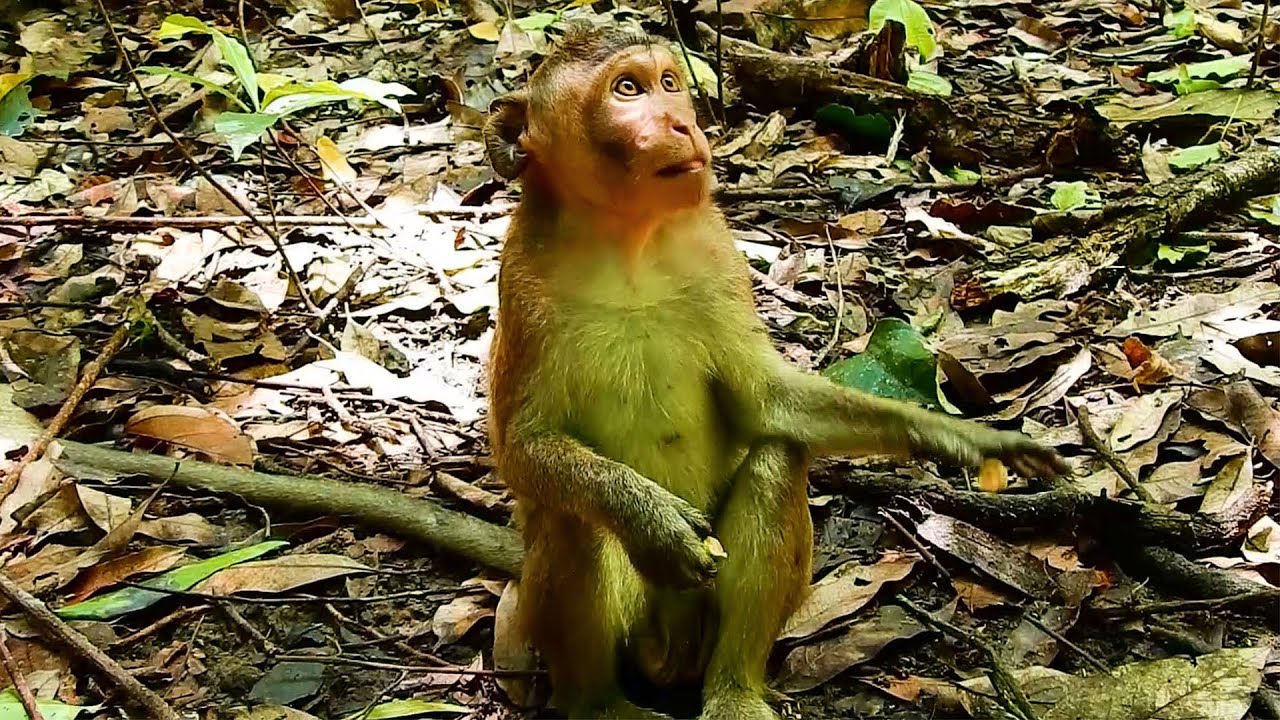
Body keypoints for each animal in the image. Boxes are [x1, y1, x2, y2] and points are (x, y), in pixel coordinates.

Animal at [481, 23, 1068, 720]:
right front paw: (650, 519)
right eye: (627, 89)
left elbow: (766, 402)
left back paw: (734, 689)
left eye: (669, 83)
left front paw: (960, 437)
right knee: (570, 515)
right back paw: (600, 705)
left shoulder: (717, 254)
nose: (683, 124)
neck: (628, 243)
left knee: (778, 460)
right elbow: (523, 448)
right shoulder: (524, 288)